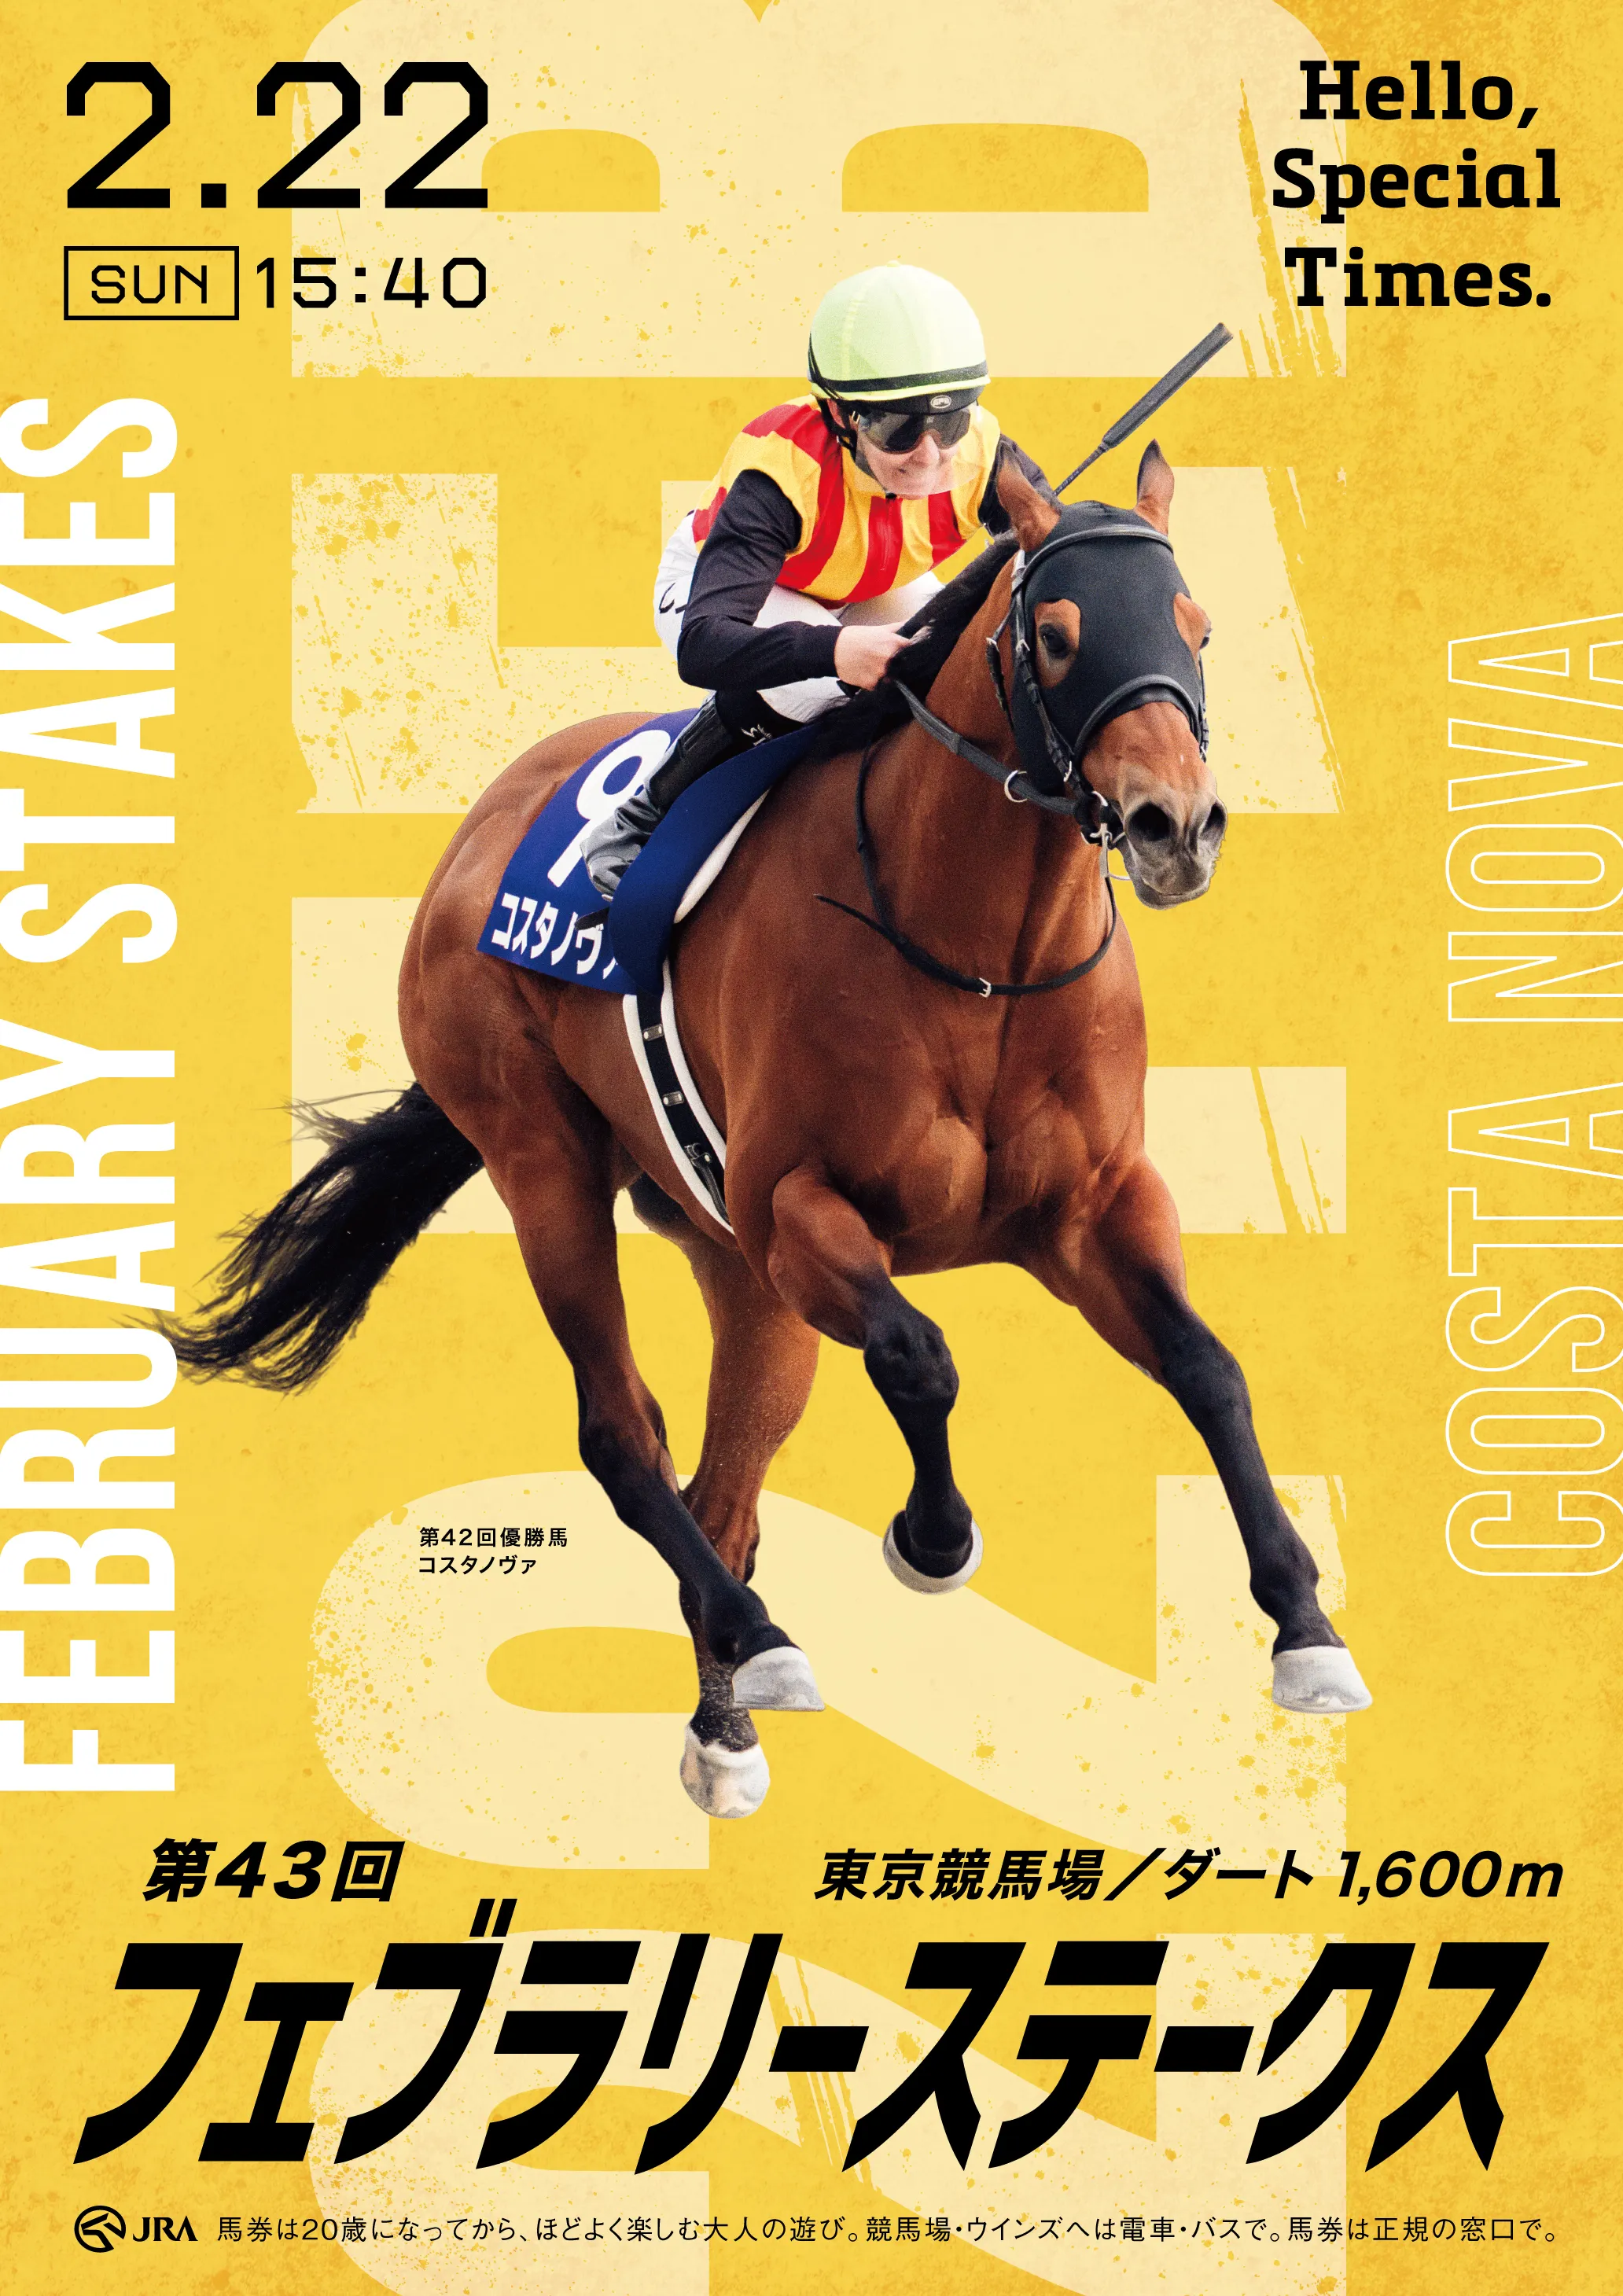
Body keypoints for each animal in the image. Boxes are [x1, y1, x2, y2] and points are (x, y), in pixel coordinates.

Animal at [168, 447, 1370, 1820]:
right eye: (1060, 636)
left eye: (1198, 628)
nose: (1177, 825)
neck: (978, 955)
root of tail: (475, 833)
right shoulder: (801, 1206)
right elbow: (919, 1355)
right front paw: (934, 1536)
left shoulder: (1095, 1207)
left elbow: (1208, 1367)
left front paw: (1307, 1630)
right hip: (545, 1166)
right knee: (623, 1435)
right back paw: (764, 1641)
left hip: (736, 1273)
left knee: (722, 1493)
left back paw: (726, 1723)